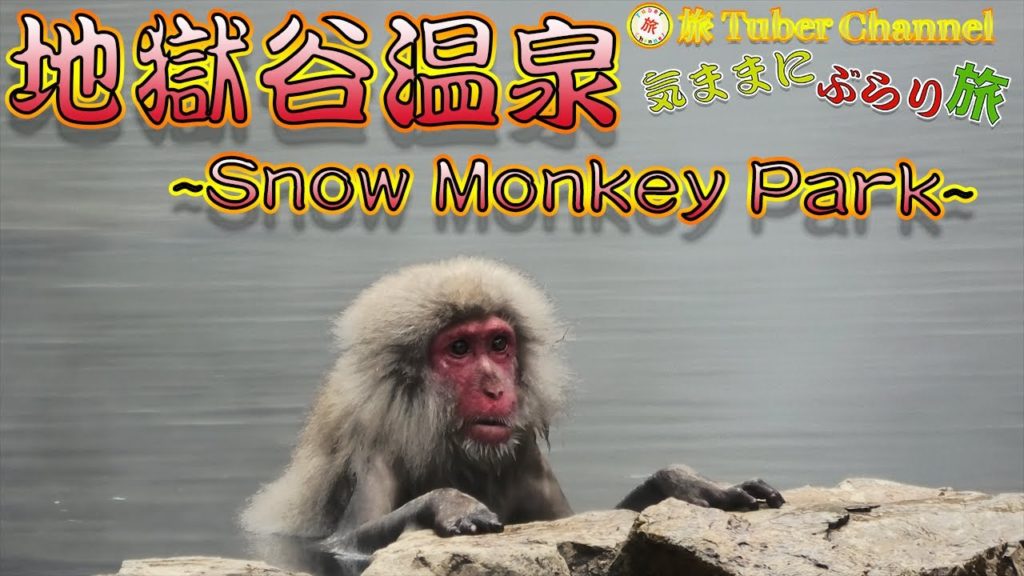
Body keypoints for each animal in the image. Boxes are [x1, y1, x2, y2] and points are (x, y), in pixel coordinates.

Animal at [241, 257, 783, 559]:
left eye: (498, 344)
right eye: (460, 349)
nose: (496, 387)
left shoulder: (523, 452)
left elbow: (569, 524)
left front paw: (688, 483)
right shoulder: (375, 446)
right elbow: (342, 544)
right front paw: (448, 502)